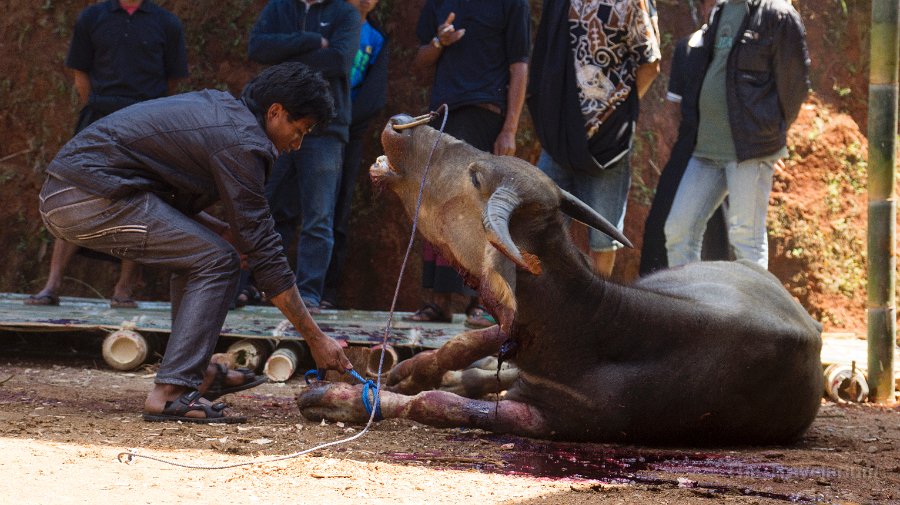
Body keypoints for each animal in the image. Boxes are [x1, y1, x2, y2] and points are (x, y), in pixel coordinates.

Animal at [298, 112, 824, 442]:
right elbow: (469, 345)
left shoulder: (556, 419)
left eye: (475, 177)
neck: (591, 323)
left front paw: (339, 397)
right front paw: (405, 372)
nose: (400, 124)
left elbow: (436, 404)